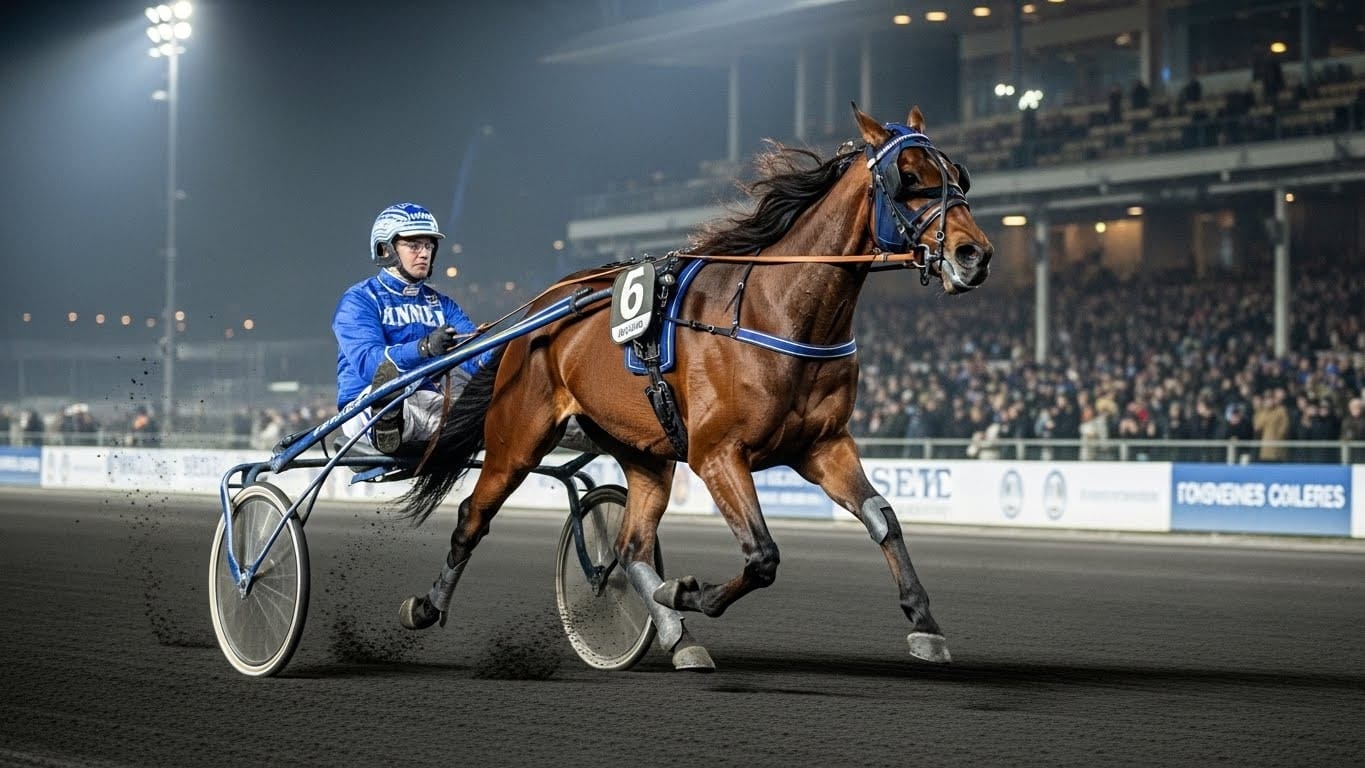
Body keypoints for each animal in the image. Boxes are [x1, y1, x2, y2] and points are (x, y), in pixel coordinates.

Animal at [395, 105, 992, 671]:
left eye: (957, 174)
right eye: (907, 176)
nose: (976, 255)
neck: (776, 309)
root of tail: (534, 314)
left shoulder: (823, 445)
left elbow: (882, 518)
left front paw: (924, 622)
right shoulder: (717, 452)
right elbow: (762, 556)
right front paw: (686, 592)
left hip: (643, 451)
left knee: (630, 546)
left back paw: (678, 637)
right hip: (517, 438)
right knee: (472, 517)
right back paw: (427, 606)